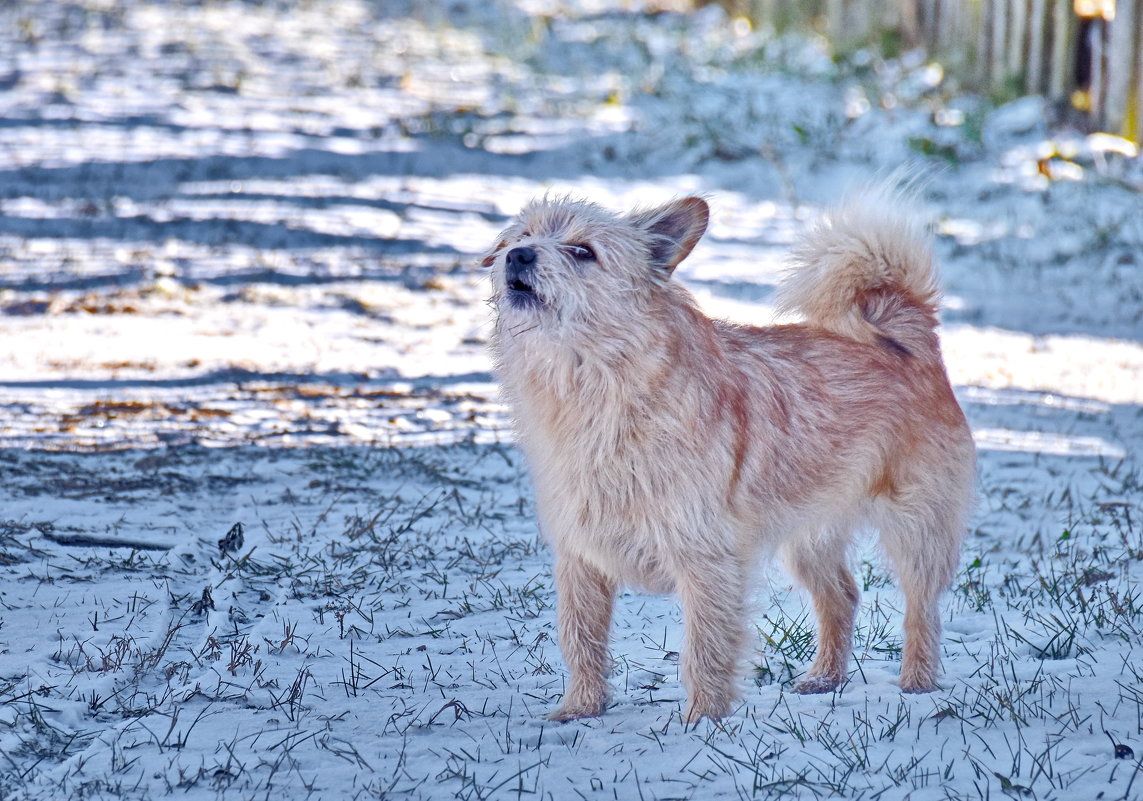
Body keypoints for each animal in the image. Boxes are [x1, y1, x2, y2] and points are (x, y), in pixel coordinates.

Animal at [482, 188, 973, 726]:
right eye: (523, 235)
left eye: (582, 251)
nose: (518, 255)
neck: (595, 385)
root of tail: (905, 331)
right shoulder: (580, 558)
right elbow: (580, 637)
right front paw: (581, 708)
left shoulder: (707, 559)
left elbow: (705, 647)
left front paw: (703, 720)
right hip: (809, 535)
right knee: (842, 596)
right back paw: (825, 677)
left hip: (917, 529)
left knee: (922, 608)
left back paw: (918, 682)